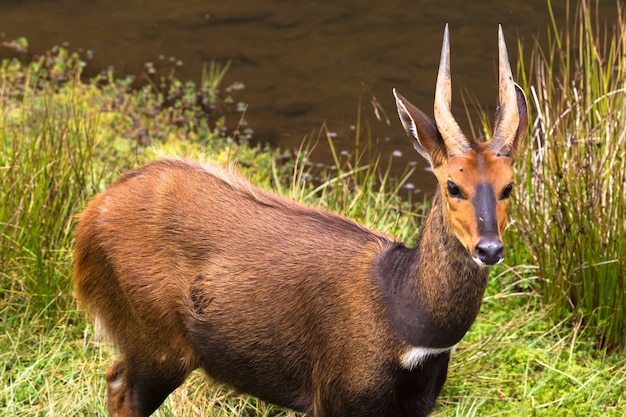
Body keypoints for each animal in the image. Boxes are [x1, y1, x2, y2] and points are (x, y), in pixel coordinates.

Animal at [74, 26, 528, 416]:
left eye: (508, 185)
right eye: (453, 184)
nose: (489, 248)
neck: (403, 318)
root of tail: (91, 217)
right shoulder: (337, 397)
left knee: (113, 377)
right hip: (159, 344)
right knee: (123, 392)